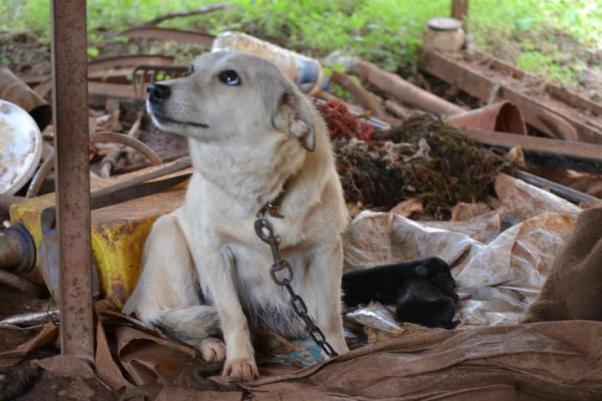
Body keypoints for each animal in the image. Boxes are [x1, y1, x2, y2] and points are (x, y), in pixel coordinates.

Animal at [122, 51, 346, 380]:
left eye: (230, 77)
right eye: (190, 70)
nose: (154, 90)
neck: (261, 199)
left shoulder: (327, 250)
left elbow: (330, 316)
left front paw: (339, 355)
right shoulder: (215, 252)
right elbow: (233, 315)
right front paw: (240, 362)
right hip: (168, 235)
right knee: (169, 321)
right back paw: (212, 344)